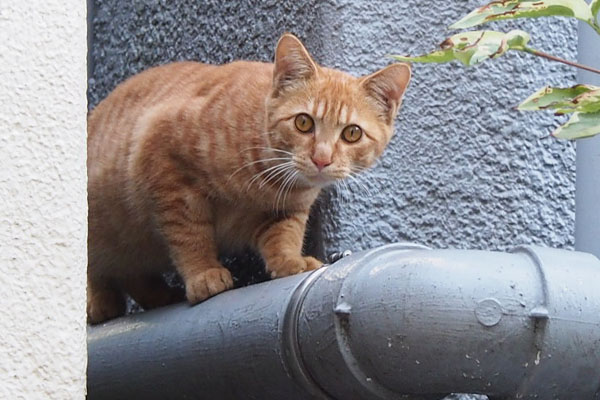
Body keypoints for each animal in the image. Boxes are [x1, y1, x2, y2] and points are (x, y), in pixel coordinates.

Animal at [85, 32, 412, 324]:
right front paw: (203, 273)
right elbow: (189, 234)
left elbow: (285, 235)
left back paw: (159, 295)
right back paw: (100, 303)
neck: (266, 179)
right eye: (303, 122)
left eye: (352, 133)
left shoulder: (287, 210)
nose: (321, 158)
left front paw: (290, 262)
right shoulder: (166, 167)